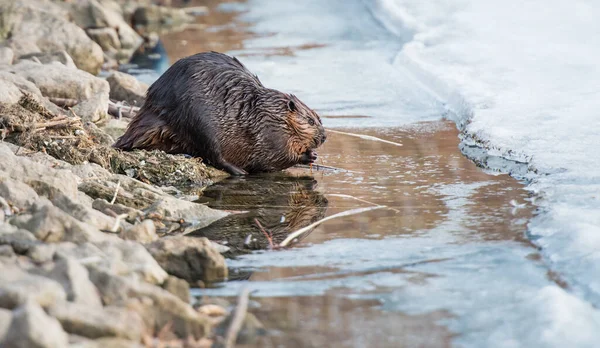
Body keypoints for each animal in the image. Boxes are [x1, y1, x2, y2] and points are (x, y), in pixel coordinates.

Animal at [114, 50, 326, 175]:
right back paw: (240, 171)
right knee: (214, 155)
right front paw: (309, 156)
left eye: (319, 118)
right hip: (198, 121)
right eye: (310, 121)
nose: (324, 137)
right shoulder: (271, 134)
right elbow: (279, 156)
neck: (266, 111)